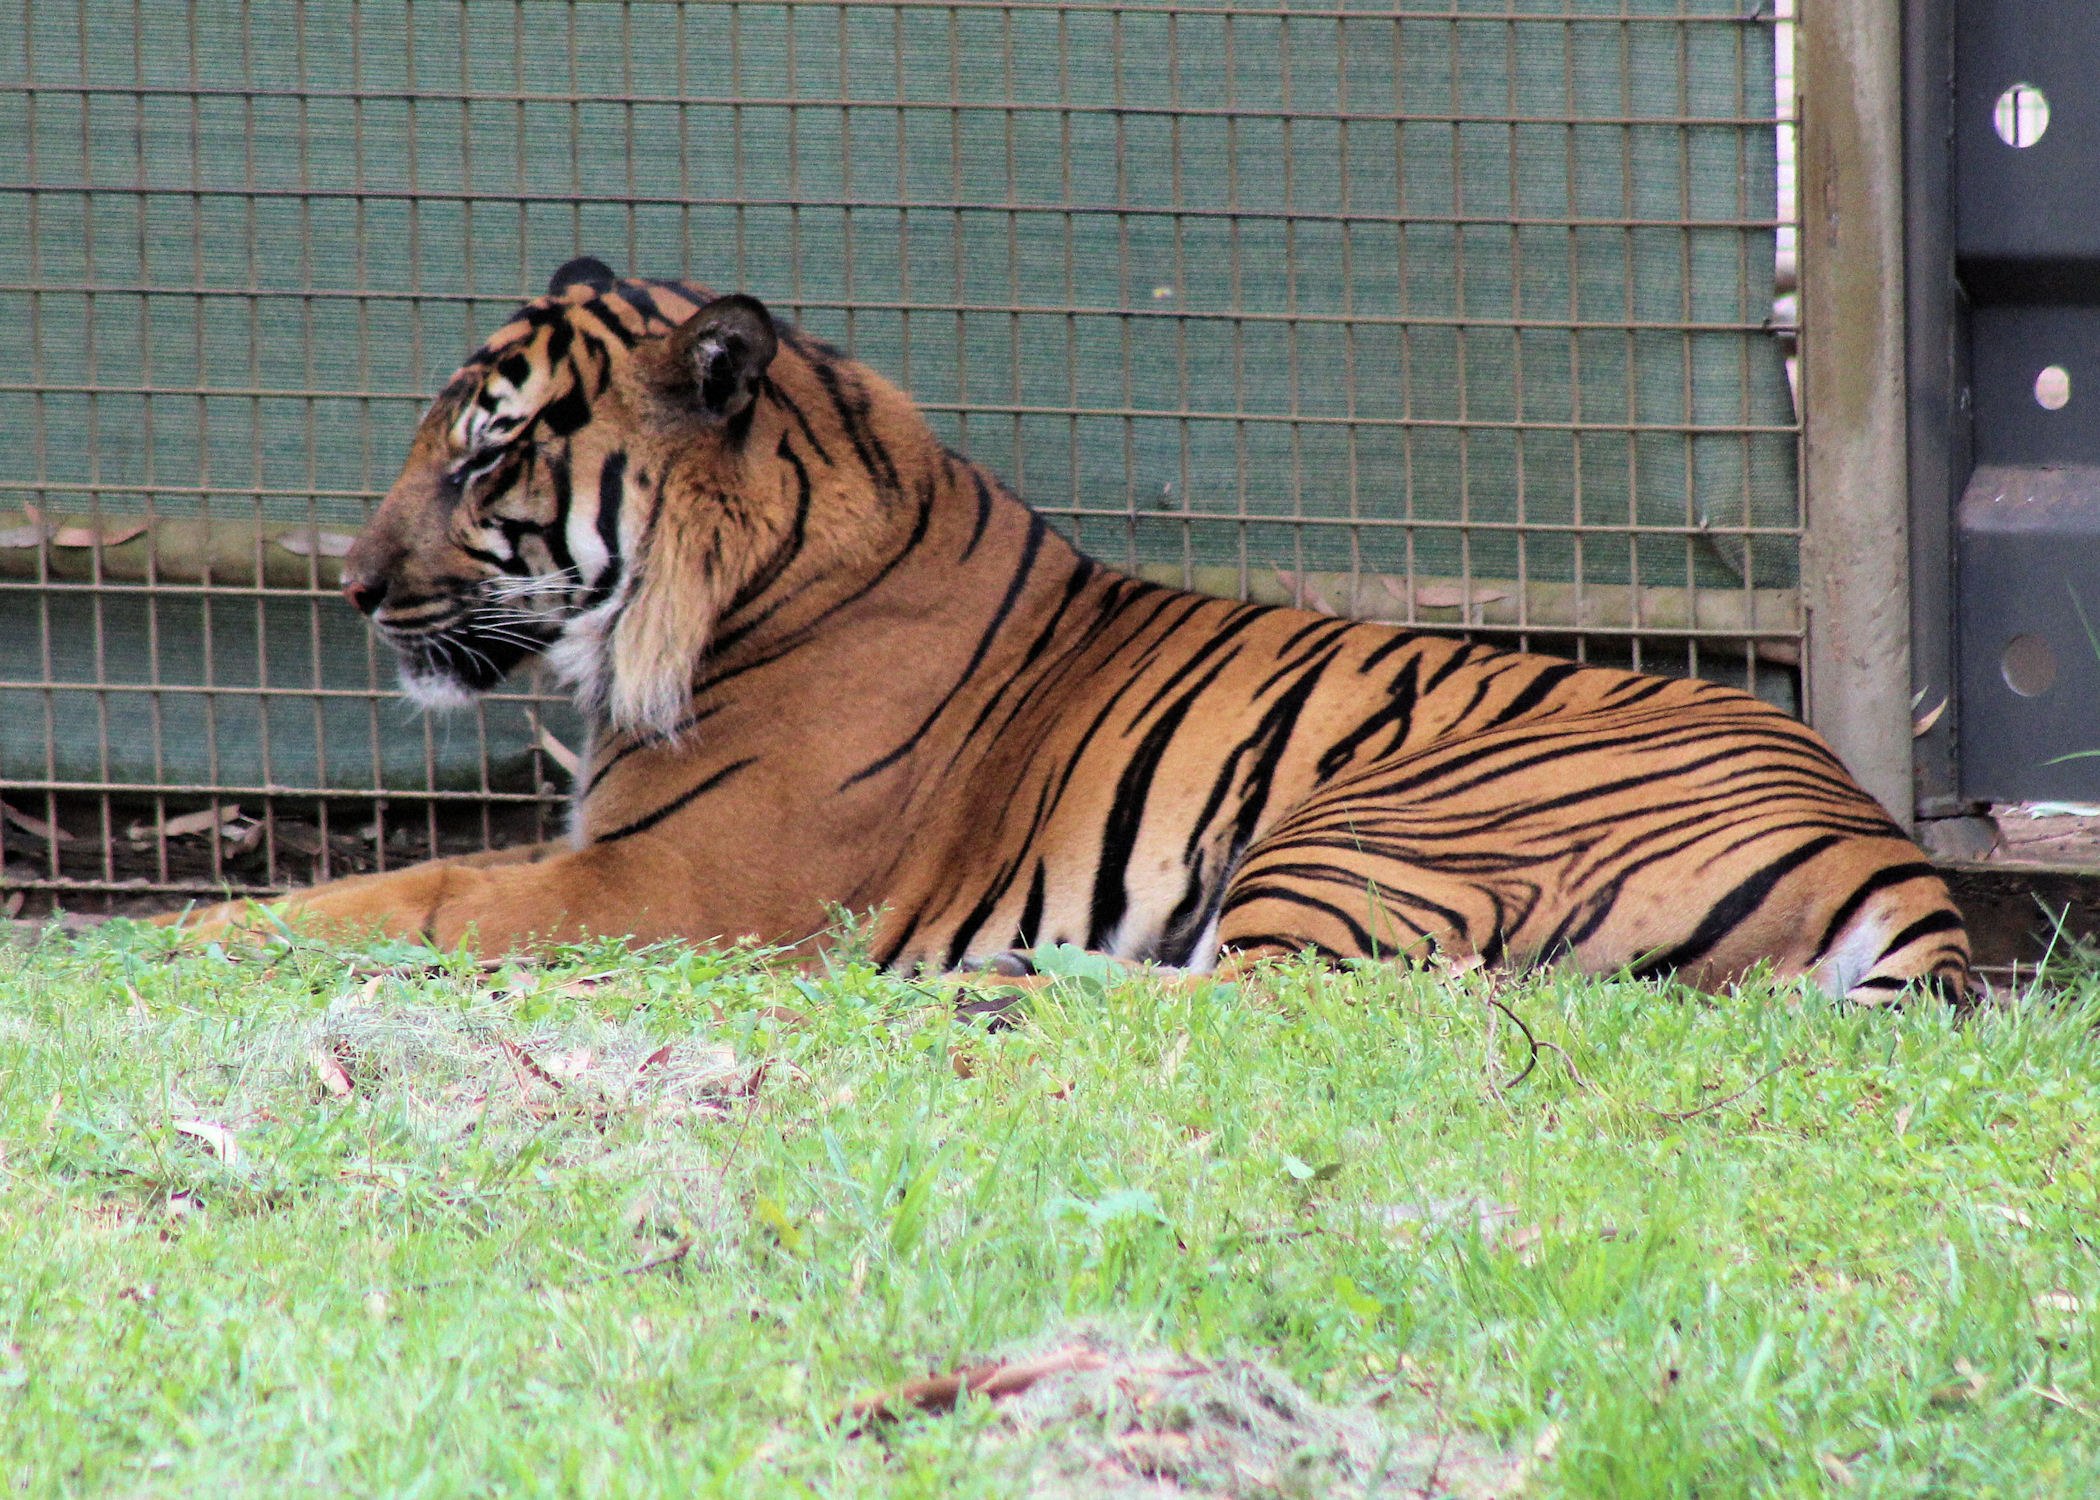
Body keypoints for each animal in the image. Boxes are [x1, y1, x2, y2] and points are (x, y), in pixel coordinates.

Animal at [159, 257, 1965, 1000]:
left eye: (486, 449)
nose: (349, 584)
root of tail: (1882, 839)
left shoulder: (673, 889)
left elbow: (410, 896)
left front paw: (175, 943)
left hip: (1369, 825)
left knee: (1286, 1009)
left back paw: (1021, 983)